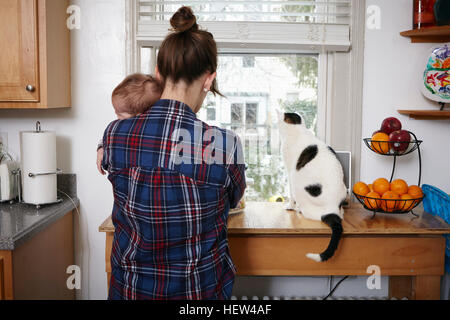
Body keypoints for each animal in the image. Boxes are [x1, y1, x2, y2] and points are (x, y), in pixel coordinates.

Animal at [278, 110, 348, 262]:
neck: (299, 130)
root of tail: (332, 209)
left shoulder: (289, 172)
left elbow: (290, 195)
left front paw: (290, 206)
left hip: (297, 182)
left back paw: (299, 209)